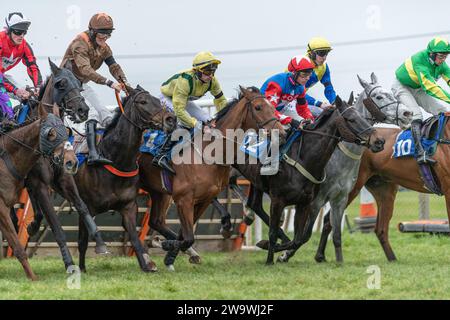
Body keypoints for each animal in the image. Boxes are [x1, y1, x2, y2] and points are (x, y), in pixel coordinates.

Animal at [0, 101, 77, 278]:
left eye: (66, 132)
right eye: (51, 134)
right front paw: (33, 278)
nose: (71, 162)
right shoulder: (2, 208)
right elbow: (17, 245)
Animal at [74, 85, 176, 272]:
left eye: (157, 101)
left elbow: (134, 238)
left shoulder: (129, 206)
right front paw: (82, 268)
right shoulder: (86, 207)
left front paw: (146, 265)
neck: (114, 159)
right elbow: (83, 240)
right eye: (143, 102)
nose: (171, 119)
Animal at [138, 86, 284, 272]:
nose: (282, 133)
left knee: (156, 222)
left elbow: (185, 235)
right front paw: (164, 245)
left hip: (160, 193)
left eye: (272, 106)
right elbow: (188, 237)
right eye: (258, 107)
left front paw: (170, 255)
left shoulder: (203, 199)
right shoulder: (183, 199)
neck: (210, 152)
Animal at [234, 95, 384, 264]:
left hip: (257, 183)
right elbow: (301, 234)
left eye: (362, 117)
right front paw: (278, 254)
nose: (379, 141)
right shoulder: (298, 200)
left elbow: (302, 237)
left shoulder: (324, 200)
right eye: (351, 119)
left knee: (255, 204)